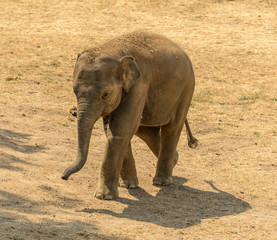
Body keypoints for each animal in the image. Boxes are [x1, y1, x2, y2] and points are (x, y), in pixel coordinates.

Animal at [61, 30, 197, 199]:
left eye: (105, 94)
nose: (64, 177)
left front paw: (104, 196)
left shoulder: (139, 86)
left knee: (172, 128)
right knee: (145, 129)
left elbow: (120, 130)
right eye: (74, 90)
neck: (113, 50)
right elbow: (115, 130)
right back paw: (175, 160)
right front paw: (128, 185)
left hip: (187, 89)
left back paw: (162, 181)